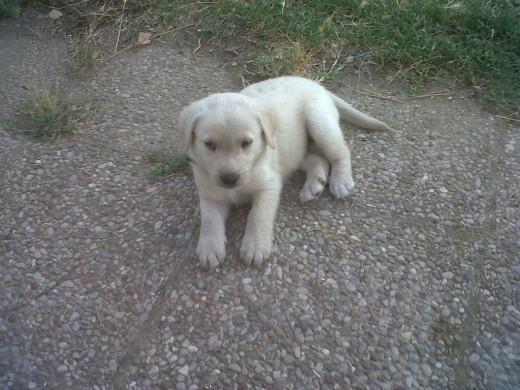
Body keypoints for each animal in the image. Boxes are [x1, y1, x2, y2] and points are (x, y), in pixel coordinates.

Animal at [179, 77, 390, 270]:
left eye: (246, 143)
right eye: (209, 144)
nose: (229, 179)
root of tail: (315, 83)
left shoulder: (269, 185)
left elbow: (258, 214)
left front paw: (255, 246)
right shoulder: (210, 193)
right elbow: (209, 219)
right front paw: (209, 248)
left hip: (319, 121)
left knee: (341, 152)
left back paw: (341, 181)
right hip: (294, 151)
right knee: (318, 159)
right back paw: (313, 185)